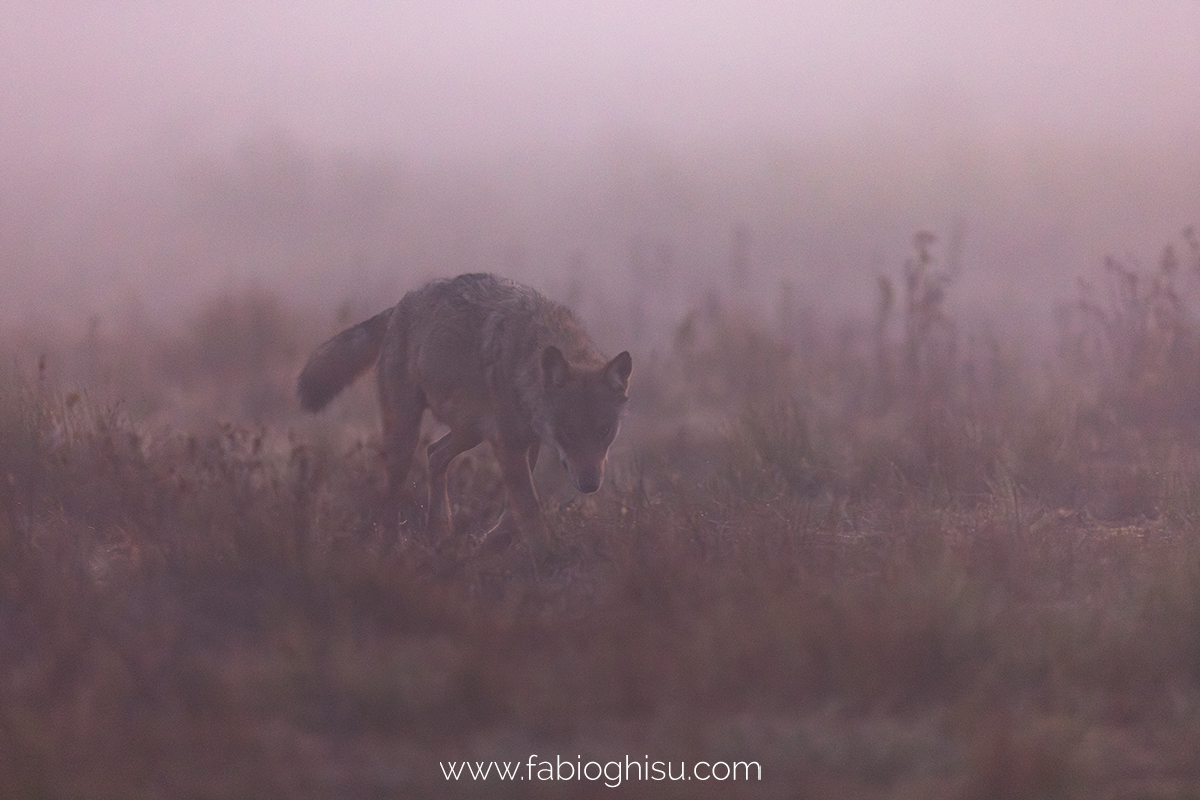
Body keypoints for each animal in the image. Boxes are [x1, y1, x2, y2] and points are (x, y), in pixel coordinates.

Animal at [297, 272, 628, 546]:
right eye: (569, 431)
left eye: (605, 430)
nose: (590, 485)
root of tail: (401, 304)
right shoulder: (510, 445)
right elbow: (529, 507)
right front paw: (545, 552)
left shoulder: (527, 443)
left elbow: (517, 507)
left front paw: (491, 540)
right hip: (406, 436)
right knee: (392, 494)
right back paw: (393, 546)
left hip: (469, 433)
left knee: (434, 454)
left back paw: (439, 530)